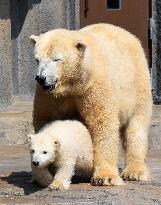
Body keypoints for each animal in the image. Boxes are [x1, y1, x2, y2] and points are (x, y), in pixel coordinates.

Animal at [30, 23, 152, 186]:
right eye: (37, 59)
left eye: (56, 59)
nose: (41, 78)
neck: (74, 83)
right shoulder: (51, 96)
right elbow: (45, 120)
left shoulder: (94, 87)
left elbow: (102, 123)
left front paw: (105, 177)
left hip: (137, 84)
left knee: (137, 126)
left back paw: (135, 172)